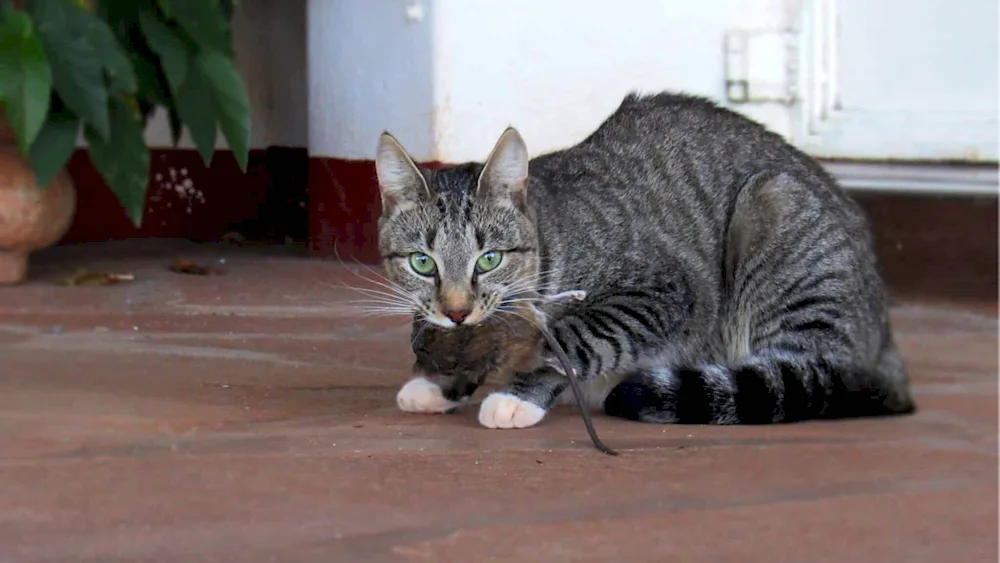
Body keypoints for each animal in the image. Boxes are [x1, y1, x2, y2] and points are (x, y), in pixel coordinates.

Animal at [374, 92, 916, 430]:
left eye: (488, 259)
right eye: (422, 263)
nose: (457, 310)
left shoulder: (662, 291)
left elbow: (575, 337)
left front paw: (516, 393)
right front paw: (441, 382)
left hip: (775, 210)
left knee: (811, 372)